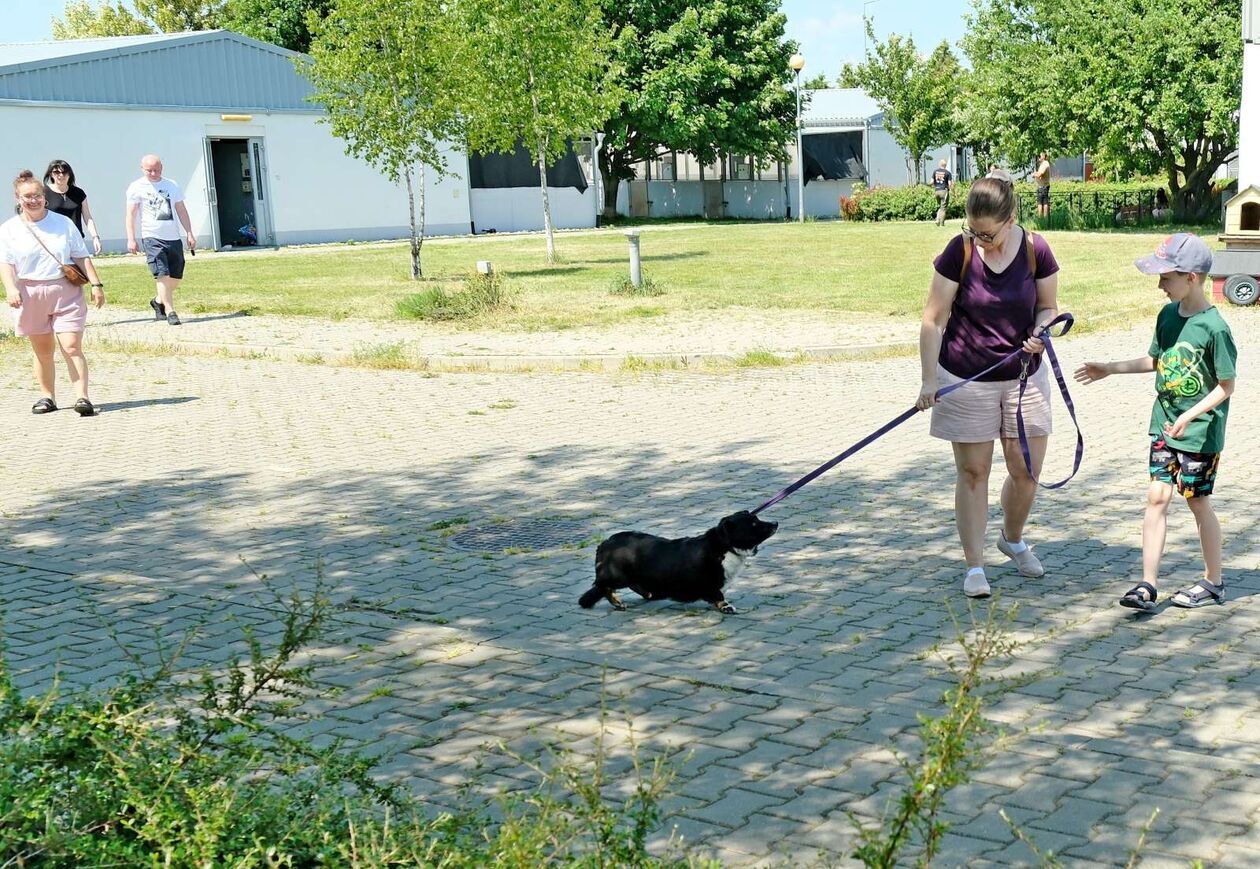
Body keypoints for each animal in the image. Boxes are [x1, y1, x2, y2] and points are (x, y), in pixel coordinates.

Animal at [579, 511, 776, 612]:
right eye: (753, 524)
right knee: (603, 586)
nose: (775, 523)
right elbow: (718, 596)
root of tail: (605, 543)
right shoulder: (710, 583)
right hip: (618, 576)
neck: (725, 547)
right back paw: (618, 603)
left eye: (757, 519)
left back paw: (648, 594)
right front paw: (725, 606)